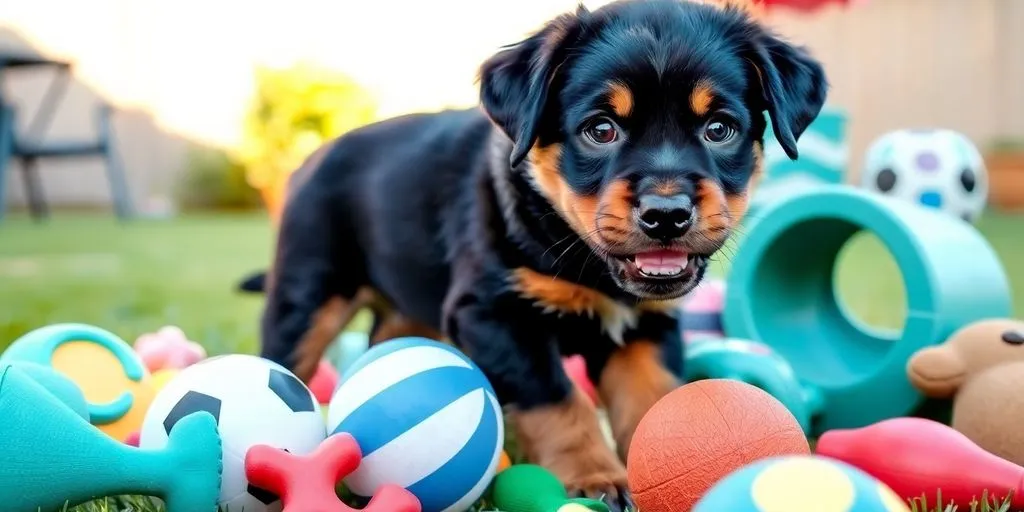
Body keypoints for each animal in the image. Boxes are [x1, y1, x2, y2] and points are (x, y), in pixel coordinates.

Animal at [260, 0, 827, 505]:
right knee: (288, 358)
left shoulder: (648, 326)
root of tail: (314, 155)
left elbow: (648, 396)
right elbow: (557, 399)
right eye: (601, 129)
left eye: (719, 129)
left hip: (411, 307)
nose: (666, 214)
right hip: (309, 293)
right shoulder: (495, 314)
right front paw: (596, 477)